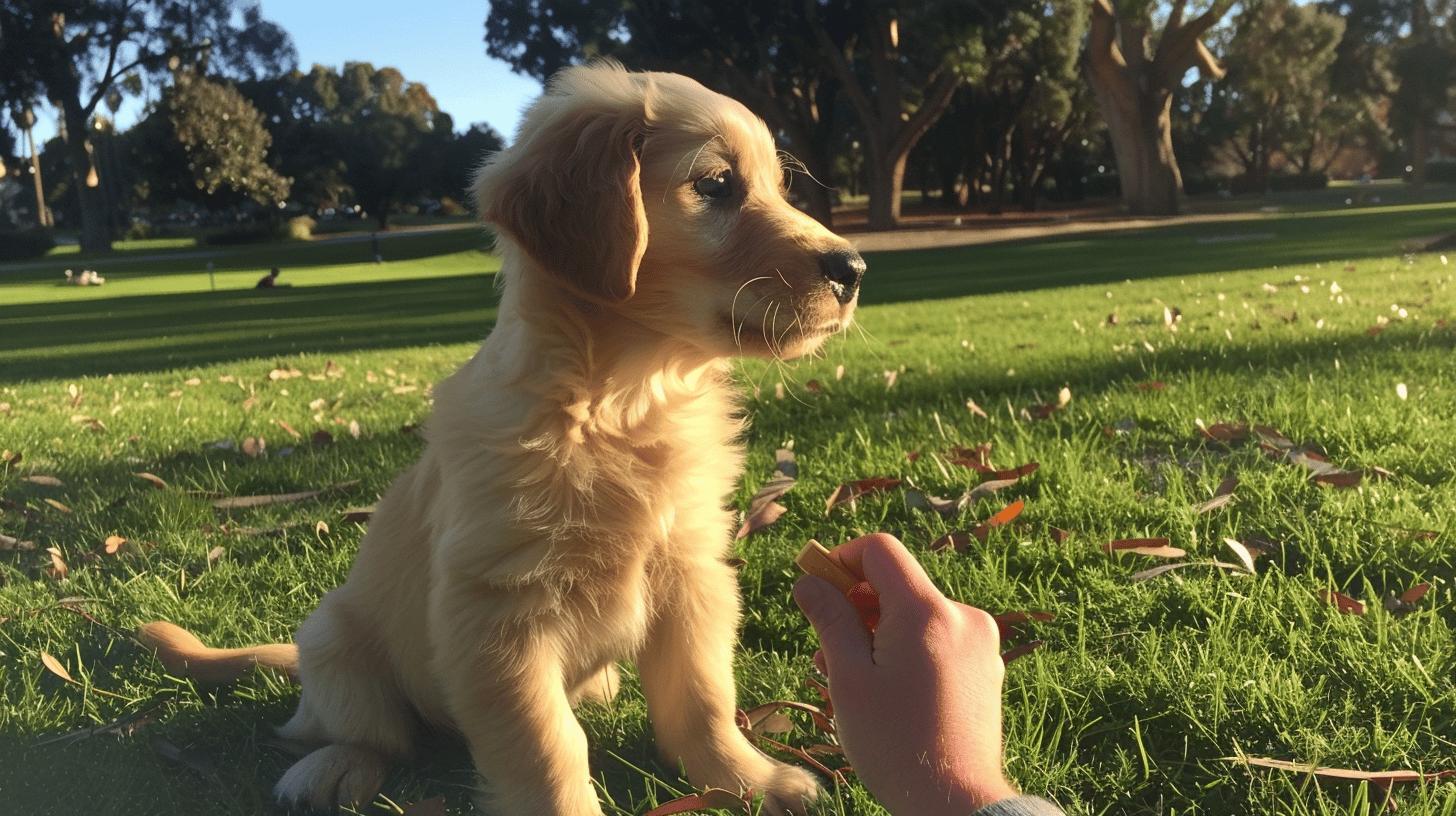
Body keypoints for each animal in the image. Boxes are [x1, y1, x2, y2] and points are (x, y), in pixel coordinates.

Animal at [136, 63, 861, 816]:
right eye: (716, 184)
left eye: (778, 185)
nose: (854, 269)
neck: (621, 406)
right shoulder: (498, 614)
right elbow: (547, 746)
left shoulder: (692, 576)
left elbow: (703, 699)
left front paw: (752, 780)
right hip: (334, 637)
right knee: (364, 733)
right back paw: (334, 768)